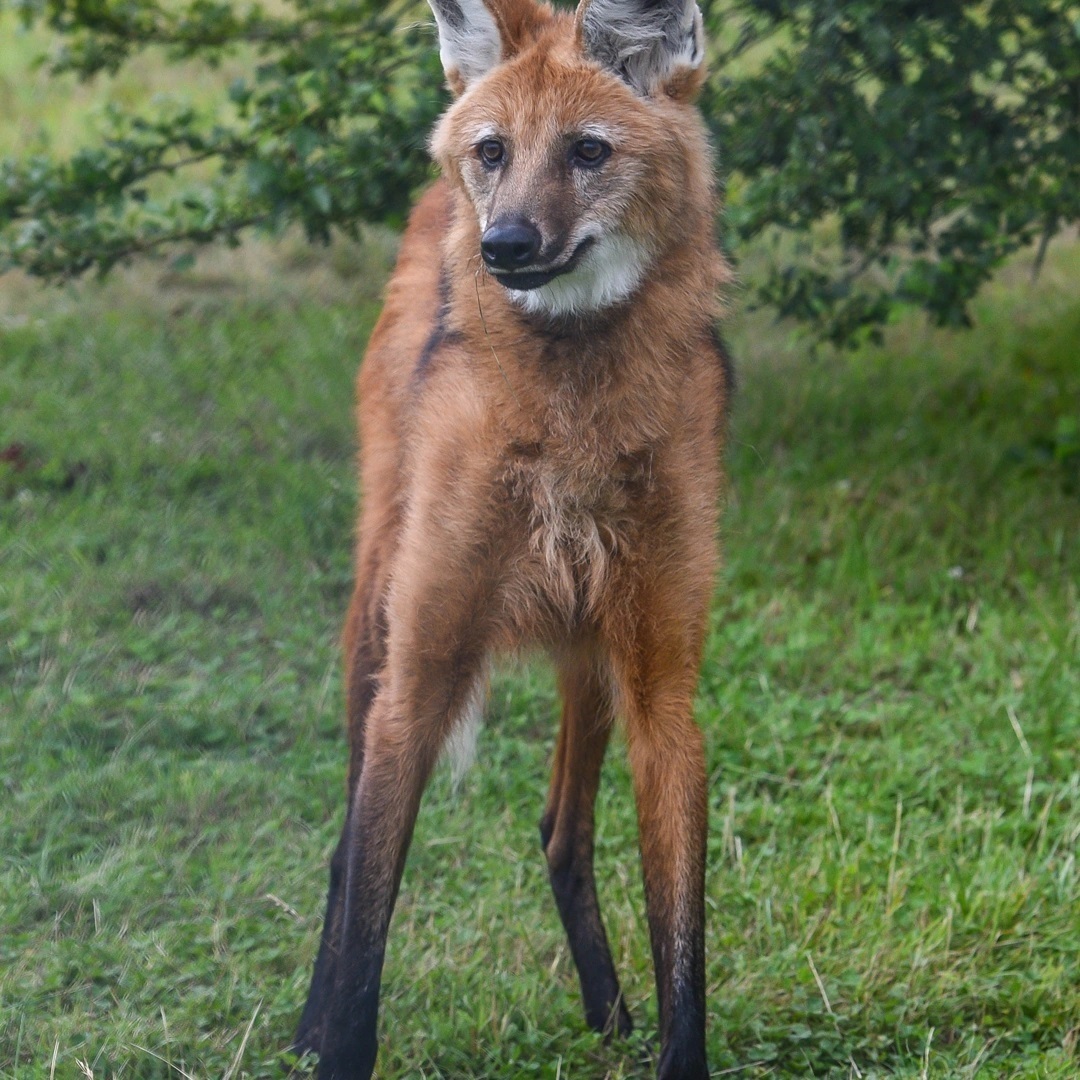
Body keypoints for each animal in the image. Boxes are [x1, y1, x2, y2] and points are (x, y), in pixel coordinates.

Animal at [295, 0, 734, 1075]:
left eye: (588, 151)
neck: (572, 411)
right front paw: (334, 1035)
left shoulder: (664, 686)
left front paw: (663, 1038)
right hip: (376, 619)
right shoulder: (418, 674)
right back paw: (307, 1021)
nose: (504, 244)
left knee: (560, 830)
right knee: (343, 845)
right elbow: (368, 909)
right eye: (494, 151)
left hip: (594, 652)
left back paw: (607, 1009)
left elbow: (683, 938)